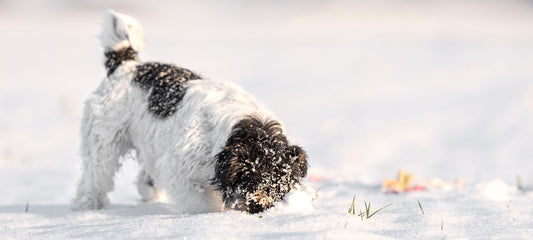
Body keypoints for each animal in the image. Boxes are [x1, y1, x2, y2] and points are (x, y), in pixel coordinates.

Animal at [70, 10, 308, 215]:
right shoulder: (178, 169)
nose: (262, 208)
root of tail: (125, 65)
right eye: (251, 180)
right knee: (94, 176)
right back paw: (88, 206)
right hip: (103, 142)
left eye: (284, 187)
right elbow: (201, 203)